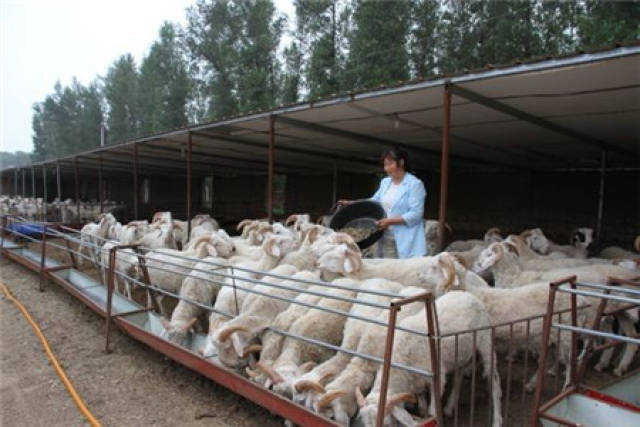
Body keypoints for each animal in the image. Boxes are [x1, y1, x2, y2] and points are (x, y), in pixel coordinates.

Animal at [352, 292, 502, 427]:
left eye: (387, 424)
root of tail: (470, 295)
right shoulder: (416, 382)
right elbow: (422, 408)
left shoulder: (437, 377)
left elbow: (432, 411)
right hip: (460, 352)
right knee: (459, 375)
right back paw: (449, 406)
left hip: (485, 341)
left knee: (494, 379)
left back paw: (497, 420)